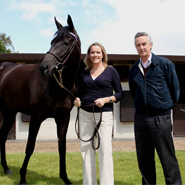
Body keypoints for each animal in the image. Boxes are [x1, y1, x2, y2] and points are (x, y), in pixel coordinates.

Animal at [0, 14, 81, 185]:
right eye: (52, 42)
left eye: (66, 43)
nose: (44, 67)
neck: (57, 86)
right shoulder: (36, 116)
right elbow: (30, 146)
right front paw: (23, 178)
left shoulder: (63, 118)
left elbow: (62, 147)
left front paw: (65, 178)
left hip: (9, 113)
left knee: (2, 136)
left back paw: (6, 168)